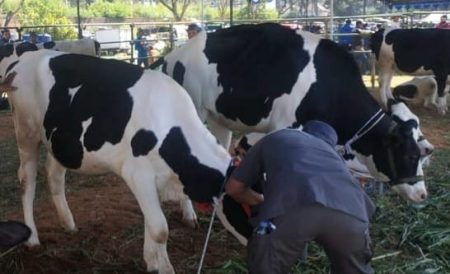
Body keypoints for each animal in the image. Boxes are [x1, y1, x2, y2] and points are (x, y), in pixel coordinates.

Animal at [0, 46, 232, 272]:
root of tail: (23, 58)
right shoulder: (138, 175)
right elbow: (159, 229)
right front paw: (164, 267)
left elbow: (151, 222)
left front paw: (152, 262)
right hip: (26, 134)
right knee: (27, 181)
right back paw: (32, 238)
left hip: (58, 142)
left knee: (54, 174)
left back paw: (68, 223)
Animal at [152, 23, 432, 203]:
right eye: (409, 154)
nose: (422, 194)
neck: (328, 83)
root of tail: (173, 55)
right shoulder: (283, 126)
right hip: (194, 110)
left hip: (218, 117)